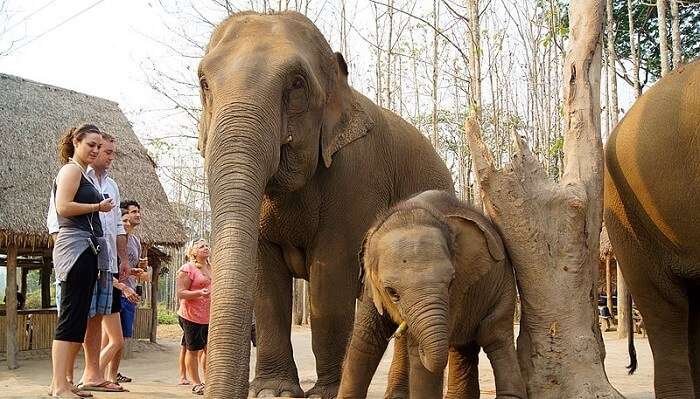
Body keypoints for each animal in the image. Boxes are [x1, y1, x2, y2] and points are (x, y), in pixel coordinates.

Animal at [197, 10, 454, 399]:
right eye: (204, 83)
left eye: (297, 84)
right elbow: (265, 279)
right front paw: (272, 391)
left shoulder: (358, 175)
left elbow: (330, 275)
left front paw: (325, 392)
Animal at [340, 191, 524, 399]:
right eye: (392, 292)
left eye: (451, 281)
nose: (404, 327)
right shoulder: (371, 289)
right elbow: (366, 339)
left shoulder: (457, 290)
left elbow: (420, 361)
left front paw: (416, 350)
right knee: (463, 346)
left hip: (504, 285)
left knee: (494, 335)